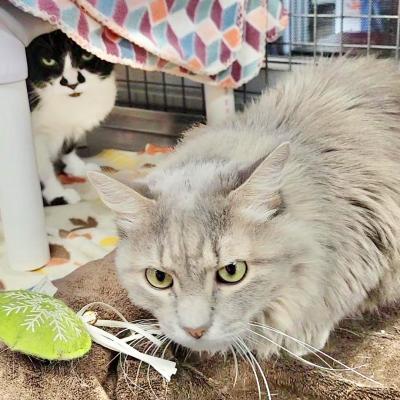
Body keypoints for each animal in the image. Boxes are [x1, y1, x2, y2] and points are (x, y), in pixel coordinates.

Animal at [26, 30, 115, 205]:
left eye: (87, 55)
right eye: (48, 60)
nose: (71, 83)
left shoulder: (72, 126)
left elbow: (68, 146)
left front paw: (79, 168)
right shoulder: (35, 136)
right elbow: (41, 167)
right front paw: (57, 194)